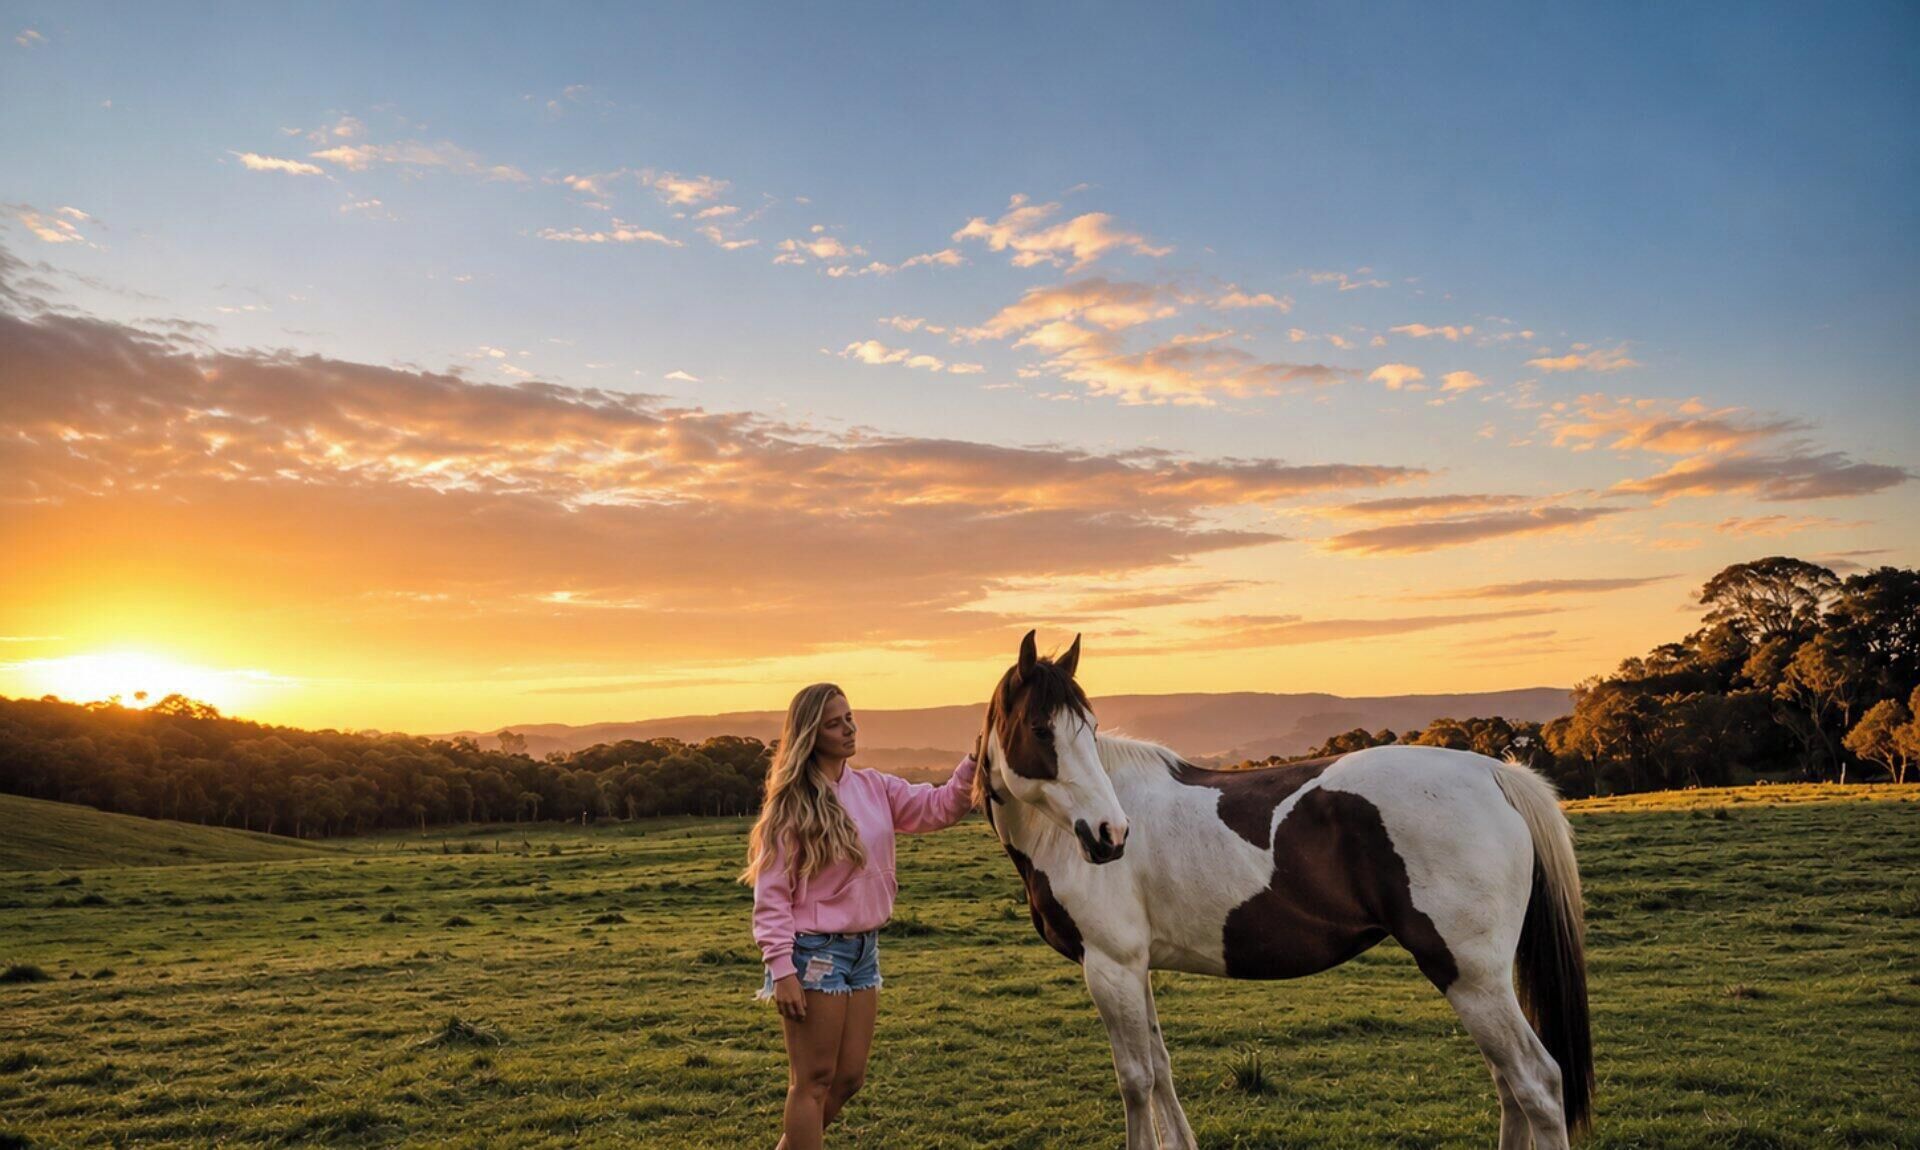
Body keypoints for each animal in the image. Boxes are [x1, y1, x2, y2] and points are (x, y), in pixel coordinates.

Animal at [973, 631, 1593, 1149]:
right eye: (1041, 730)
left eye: (1091, 730)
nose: (1109, 835)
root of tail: (1495, 773)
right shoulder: (1136, 966)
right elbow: (1162, 1067)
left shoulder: (1109, 966)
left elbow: (1136, 1080)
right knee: (1508, 1084)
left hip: (1471, 977)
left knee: (1536, 1084)